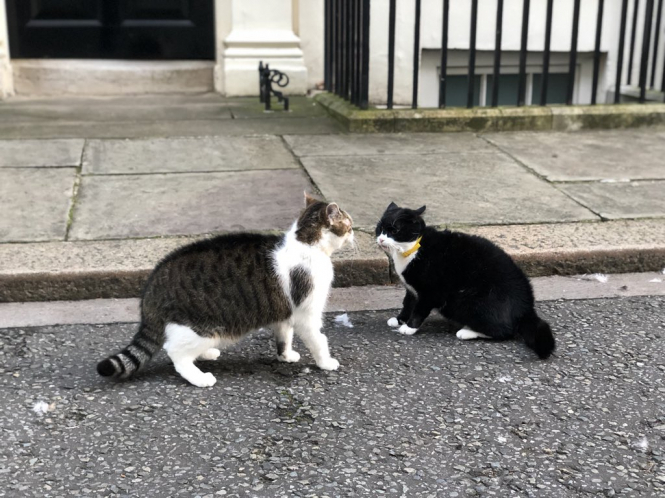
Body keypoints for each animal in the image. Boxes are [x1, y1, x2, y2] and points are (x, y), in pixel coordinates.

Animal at [97, 193, 352, 388]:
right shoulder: (306, 313)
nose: (353, 233)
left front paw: (286, 356)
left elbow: (284, 337)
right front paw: (326, 362)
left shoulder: (284, 313)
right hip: (204, 327)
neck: (306, 243)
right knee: (175, 352)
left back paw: (206, 354)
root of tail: (153, 284)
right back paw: (200, 378)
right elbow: (318, 340)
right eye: (348, 223)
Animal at [374, 202, 556, 358]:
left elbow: (419, 310)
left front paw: (409, 327)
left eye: (394, 230)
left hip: (467, 301)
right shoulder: (412, 289)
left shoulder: (431, 292)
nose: (381, 239)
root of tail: (526, 307)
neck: (412, 250)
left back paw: (467, 332)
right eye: (380, 229)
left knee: (505, 331)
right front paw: (399, 319)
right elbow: (408, 304)